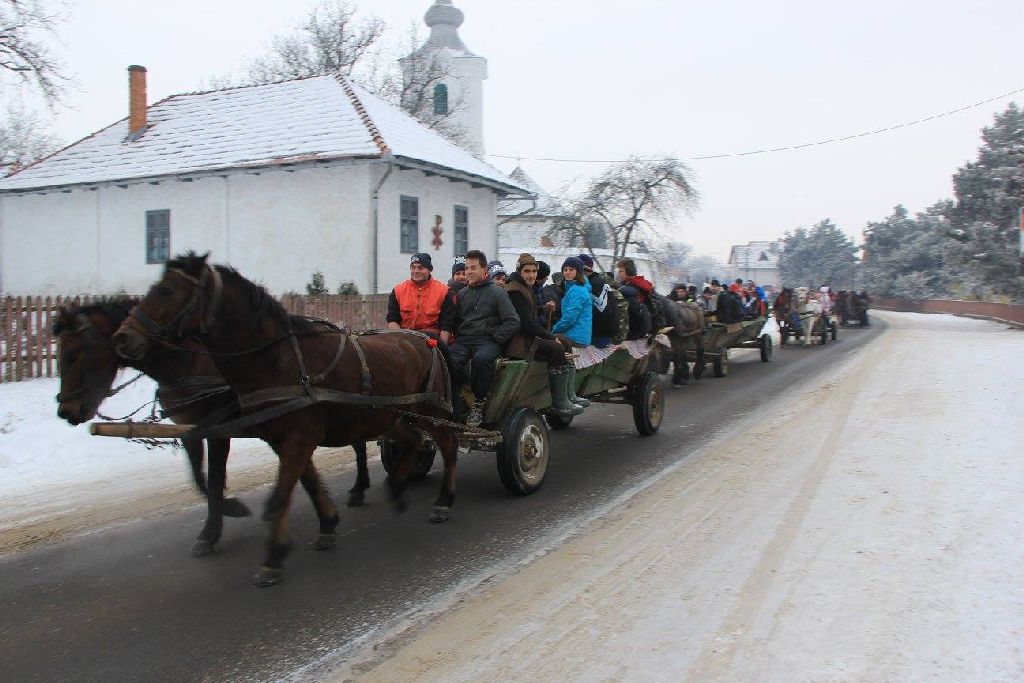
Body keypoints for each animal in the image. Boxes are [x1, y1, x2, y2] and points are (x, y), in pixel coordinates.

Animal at [54, 301, 374, 557]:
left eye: (73, 354)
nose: (65, 411)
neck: (188, 361)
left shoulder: (221, 429)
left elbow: (217, 478)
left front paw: (213, 528)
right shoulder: (192, 427)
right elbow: (199, 477)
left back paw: (359, 487)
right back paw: (358, 489)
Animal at [111, 253, 456, 585]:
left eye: (167, 291)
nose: (123, 337)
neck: (280, 361)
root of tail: (425, 340)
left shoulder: (295, 438)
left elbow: (277, 496)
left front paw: (272, 557)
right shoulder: (282, 439)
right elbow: (307, 482)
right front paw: (327, 524)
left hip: (433, 412)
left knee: (448, 448)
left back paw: (443, 500)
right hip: (387, 415)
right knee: (412, 440)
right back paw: (396, 489)